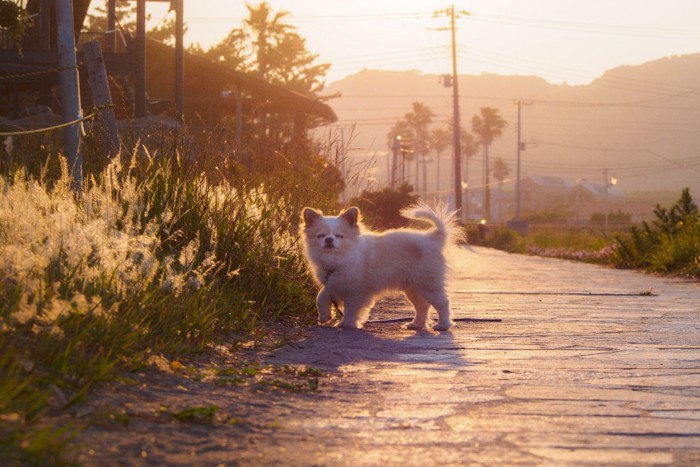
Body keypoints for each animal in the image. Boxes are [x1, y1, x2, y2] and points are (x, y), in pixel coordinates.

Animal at [298, 203, 462, 330]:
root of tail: (433, 238)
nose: (329, 240)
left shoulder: (356, 291)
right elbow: (321, 295)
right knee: (422, 306)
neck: (337, 259)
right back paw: (416, 324)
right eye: (321, 236)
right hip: (413, 288)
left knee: (443, 303)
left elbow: (351, 309)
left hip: (429, 285)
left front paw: (347, 324)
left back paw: (443, 325)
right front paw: (324, 316)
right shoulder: (334, 282)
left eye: (339, 236)